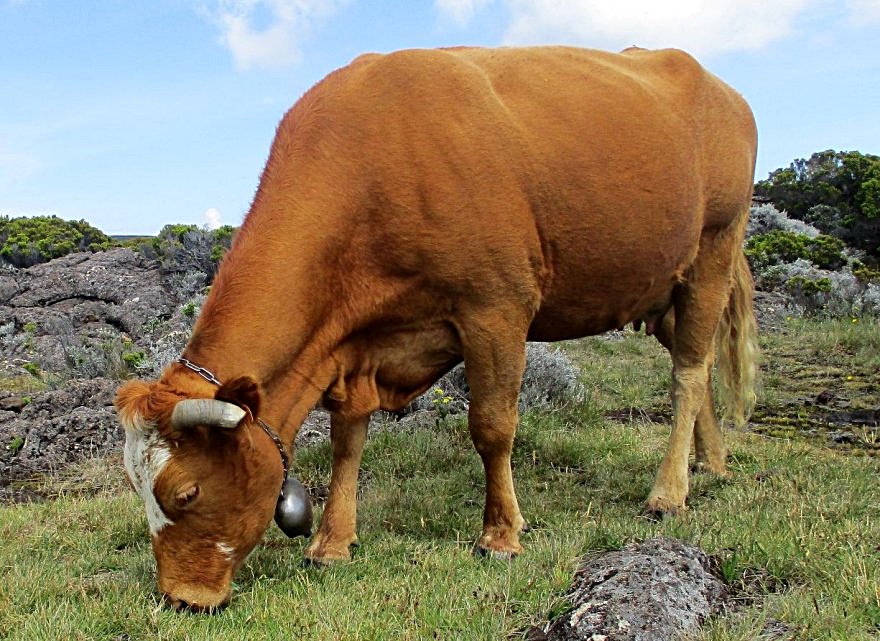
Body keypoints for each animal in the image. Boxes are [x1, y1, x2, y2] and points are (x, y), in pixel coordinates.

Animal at [115, 46, 756, 608]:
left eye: (186, 491)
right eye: (137, 488)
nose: (180, 597)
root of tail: (722, 88)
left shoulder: (496, 307)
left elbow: (492, 427)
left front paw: (501, 534)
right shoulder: (354, 346)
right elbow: (348, 438)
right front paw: (332, 541)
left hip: (713, 248)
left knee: (688, 373)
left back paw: (669, 491)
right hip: (663, 290)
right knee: (696, 368)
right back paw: (712, 462)